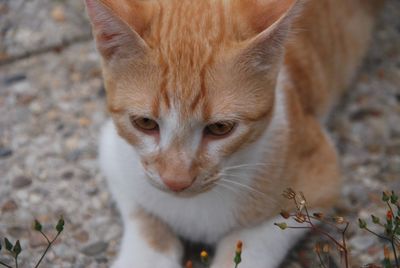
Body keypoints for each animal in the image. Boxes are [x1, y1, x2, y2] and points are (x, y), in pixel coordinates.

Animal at [86, 1, 382, 266]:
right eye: (145, 123)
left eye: (220, 128)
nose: (176, 181)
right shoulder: (114, 157)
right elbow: (145, 216)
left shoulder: (321, 170)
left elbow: (253, 242)